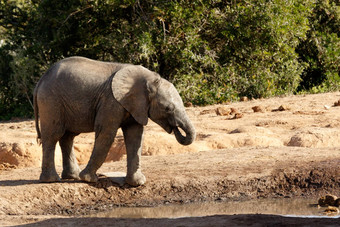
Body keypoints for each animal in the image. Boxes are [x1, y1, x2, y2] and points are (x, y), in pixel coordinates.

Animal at [33, 56, 197, 186]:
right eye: (168, 108)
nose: (175, 128)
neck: (149, 78)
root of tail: (41, 80)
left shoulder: (134, 105)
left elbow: (135, 136)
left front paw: (137, 183)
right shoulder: (111, 101)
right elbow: (106, 134)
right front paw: (88, 179)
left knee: (68, 137)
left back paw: (72, 176)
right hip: (51, 101)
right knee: (53, 136)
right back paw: (52, 180)